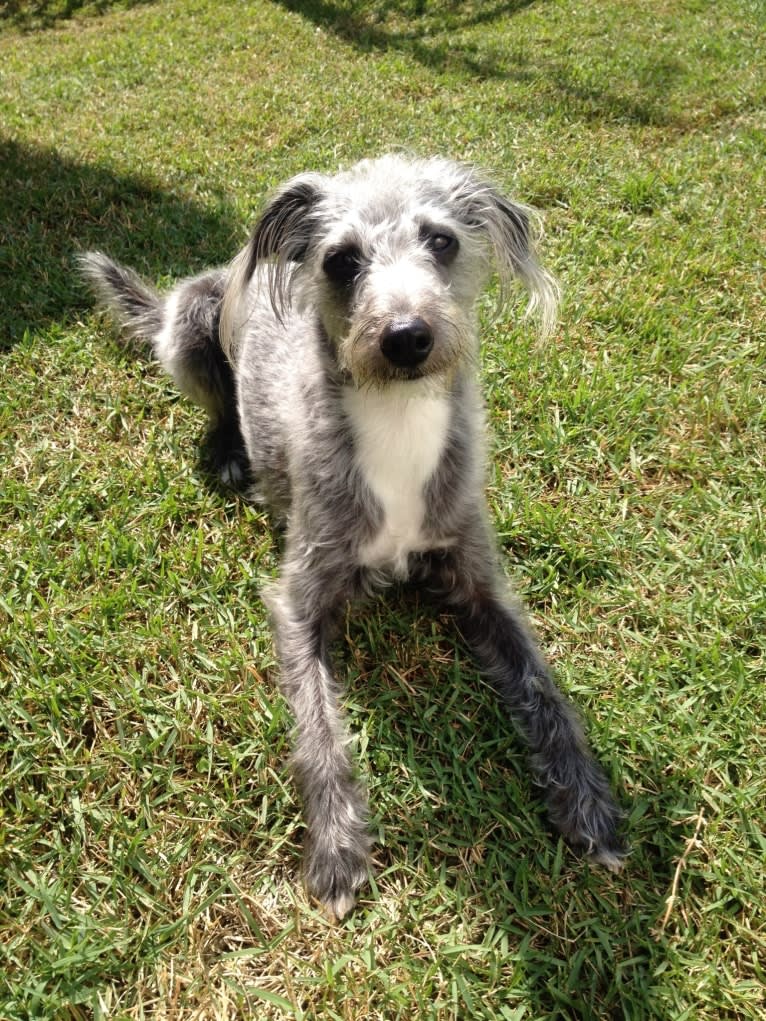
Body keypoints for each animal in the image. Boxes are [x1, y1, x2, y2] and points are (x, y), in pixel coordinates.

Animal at [81, 155, 625, 922]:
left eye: (442, 241)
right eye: (340, 260)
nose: (406, 335)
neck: (395, 417)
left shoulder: (480, 582)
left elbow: (543, 689)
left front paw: (585, 797)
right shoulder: (299, 599)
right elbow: (319, 731)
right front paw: (337, 849)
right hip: (191, 321)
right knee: (215, 393)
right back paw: (227, 449)